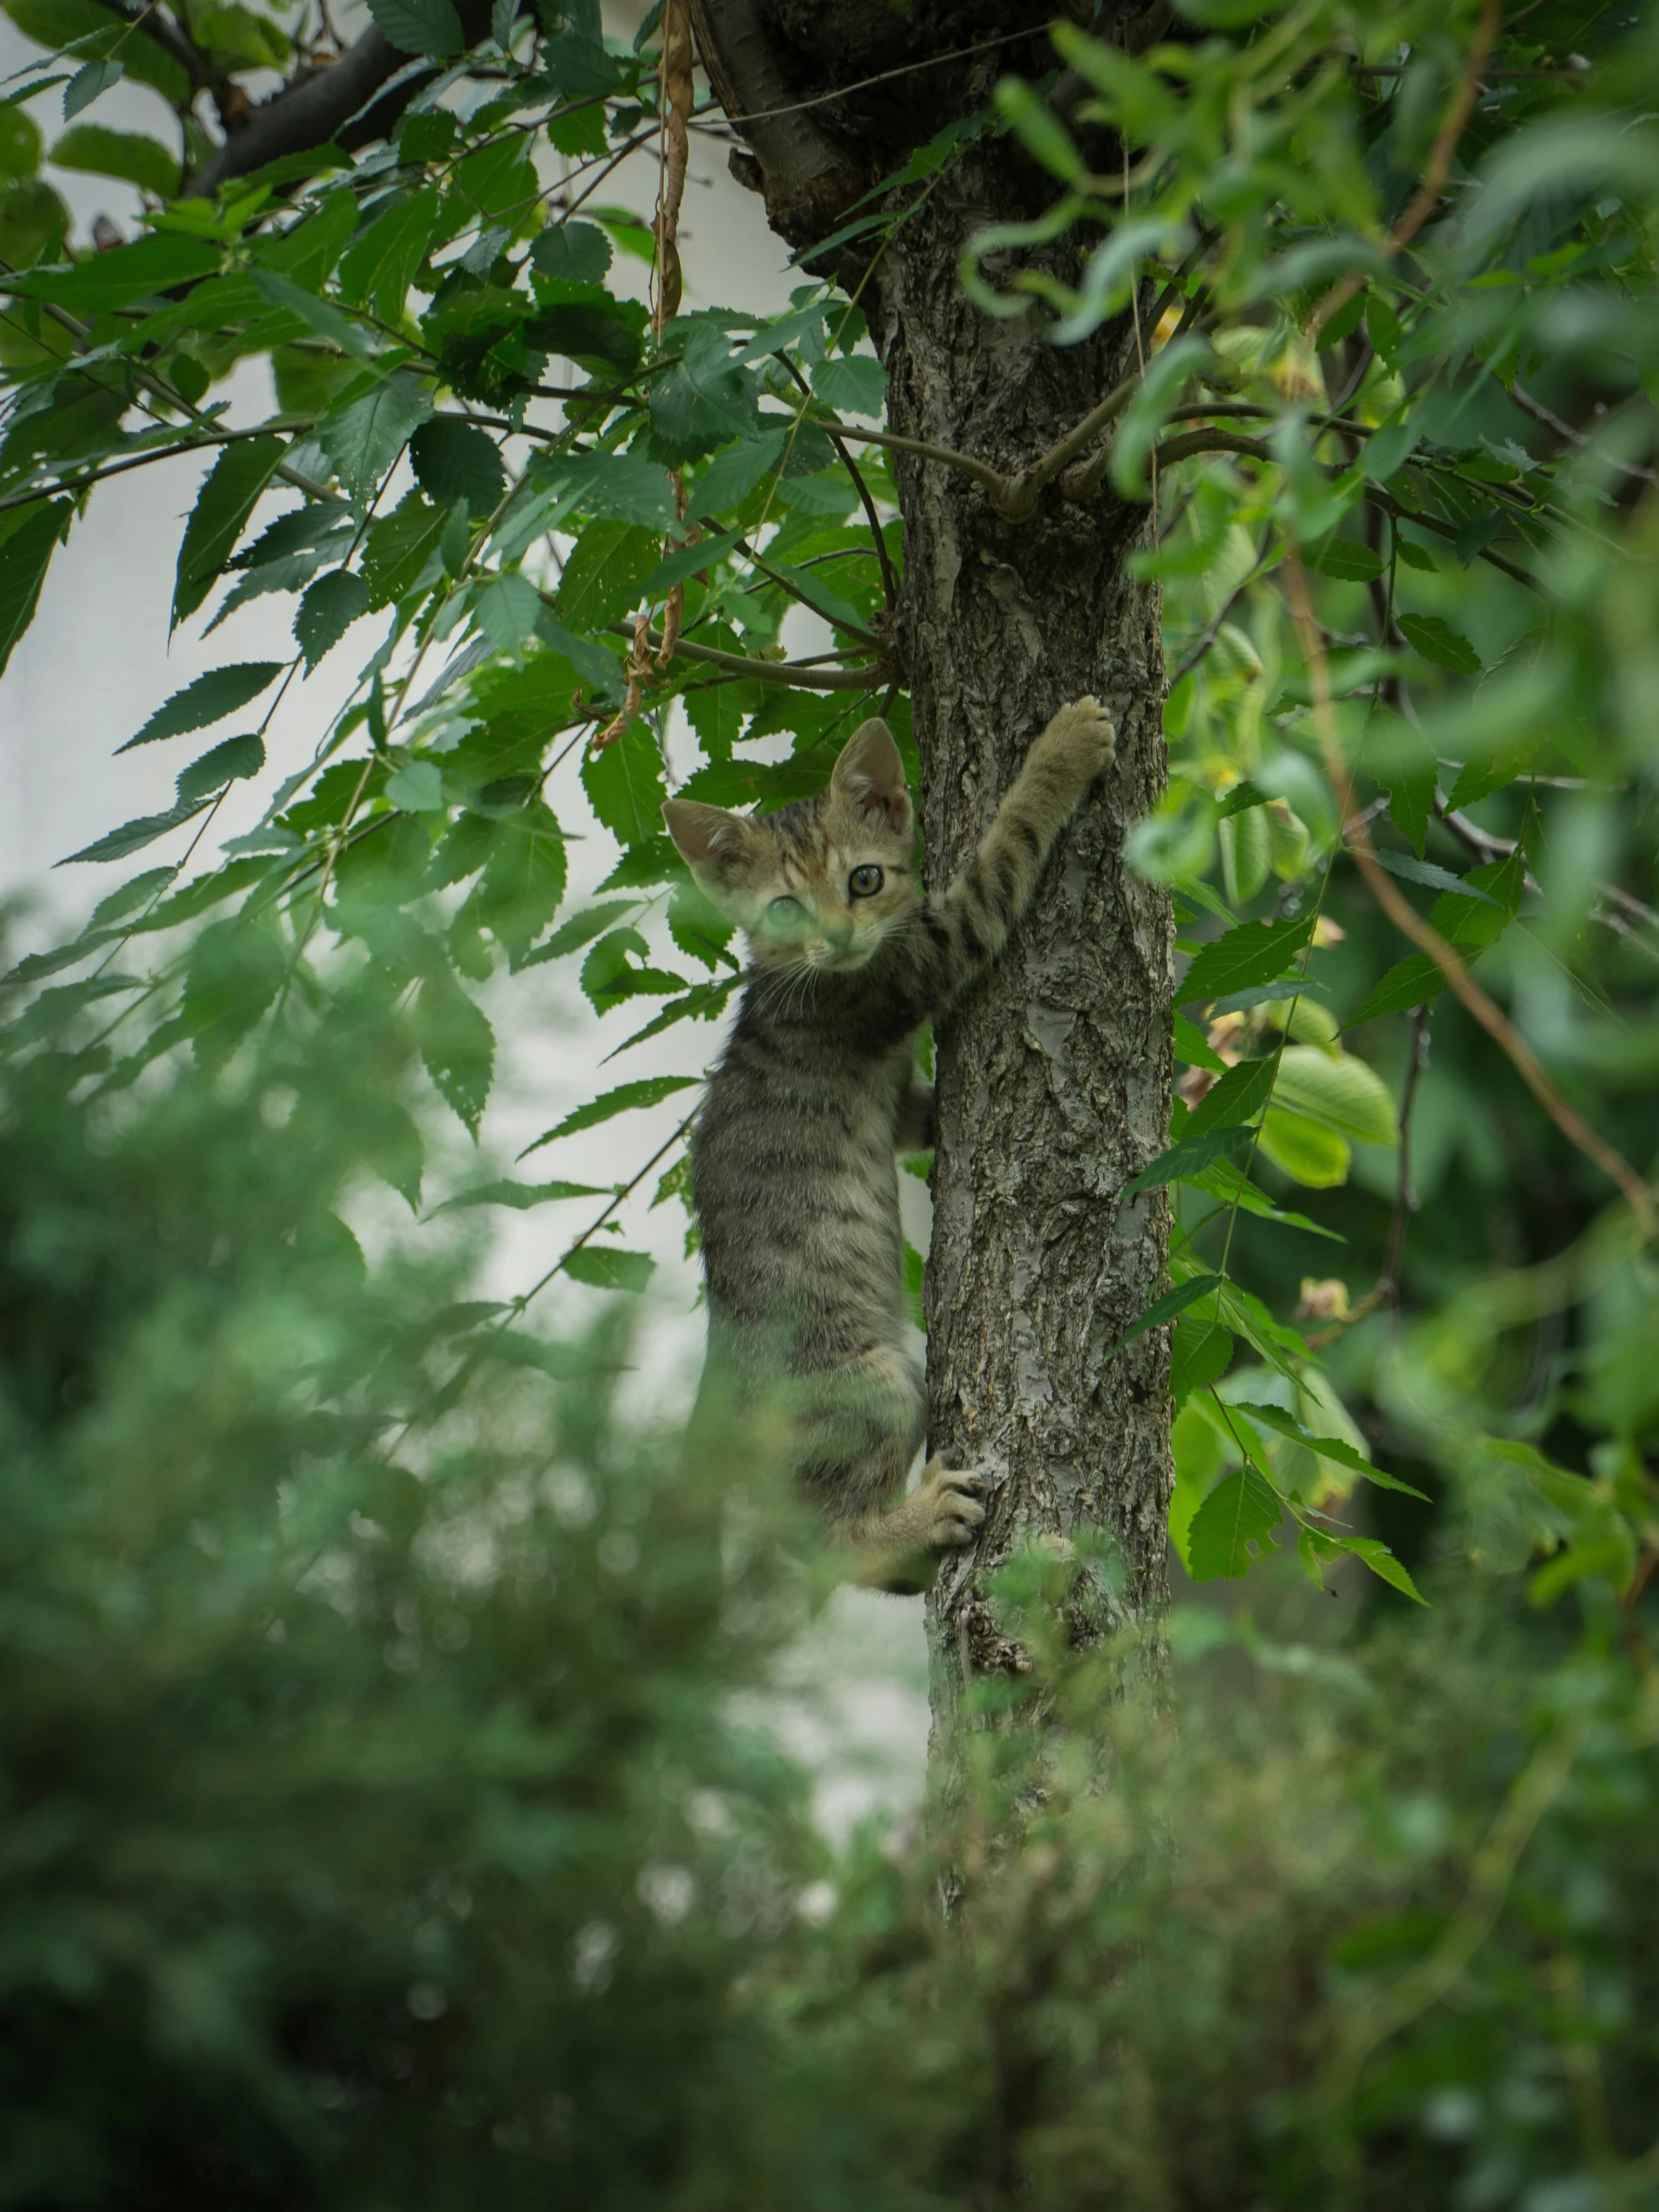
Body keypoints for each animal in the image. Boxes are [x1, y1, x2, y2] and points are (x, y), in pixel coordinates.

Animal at [663, 703, 1119, 1592]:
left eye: (864, 880)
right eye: (783, 909)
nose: (840, 938)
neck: (794, 977)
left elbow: (918, 1117)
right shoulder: (926, 956)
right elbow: (1005, 850)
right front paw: (1063, 750)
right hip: (877, 1382)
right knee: (824, 1545)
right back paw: (919, 1519)